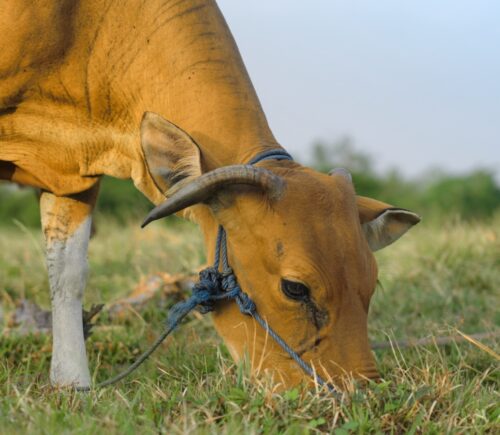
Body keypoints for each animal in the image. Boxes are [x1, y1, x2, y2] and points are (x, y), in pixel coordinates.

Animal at [0, 0, 420, 388]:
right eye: (295, 288)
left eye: (371, 282)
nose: (359, 390)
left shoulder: (73, 176)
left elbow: (68, 275)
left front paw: (72, 383)